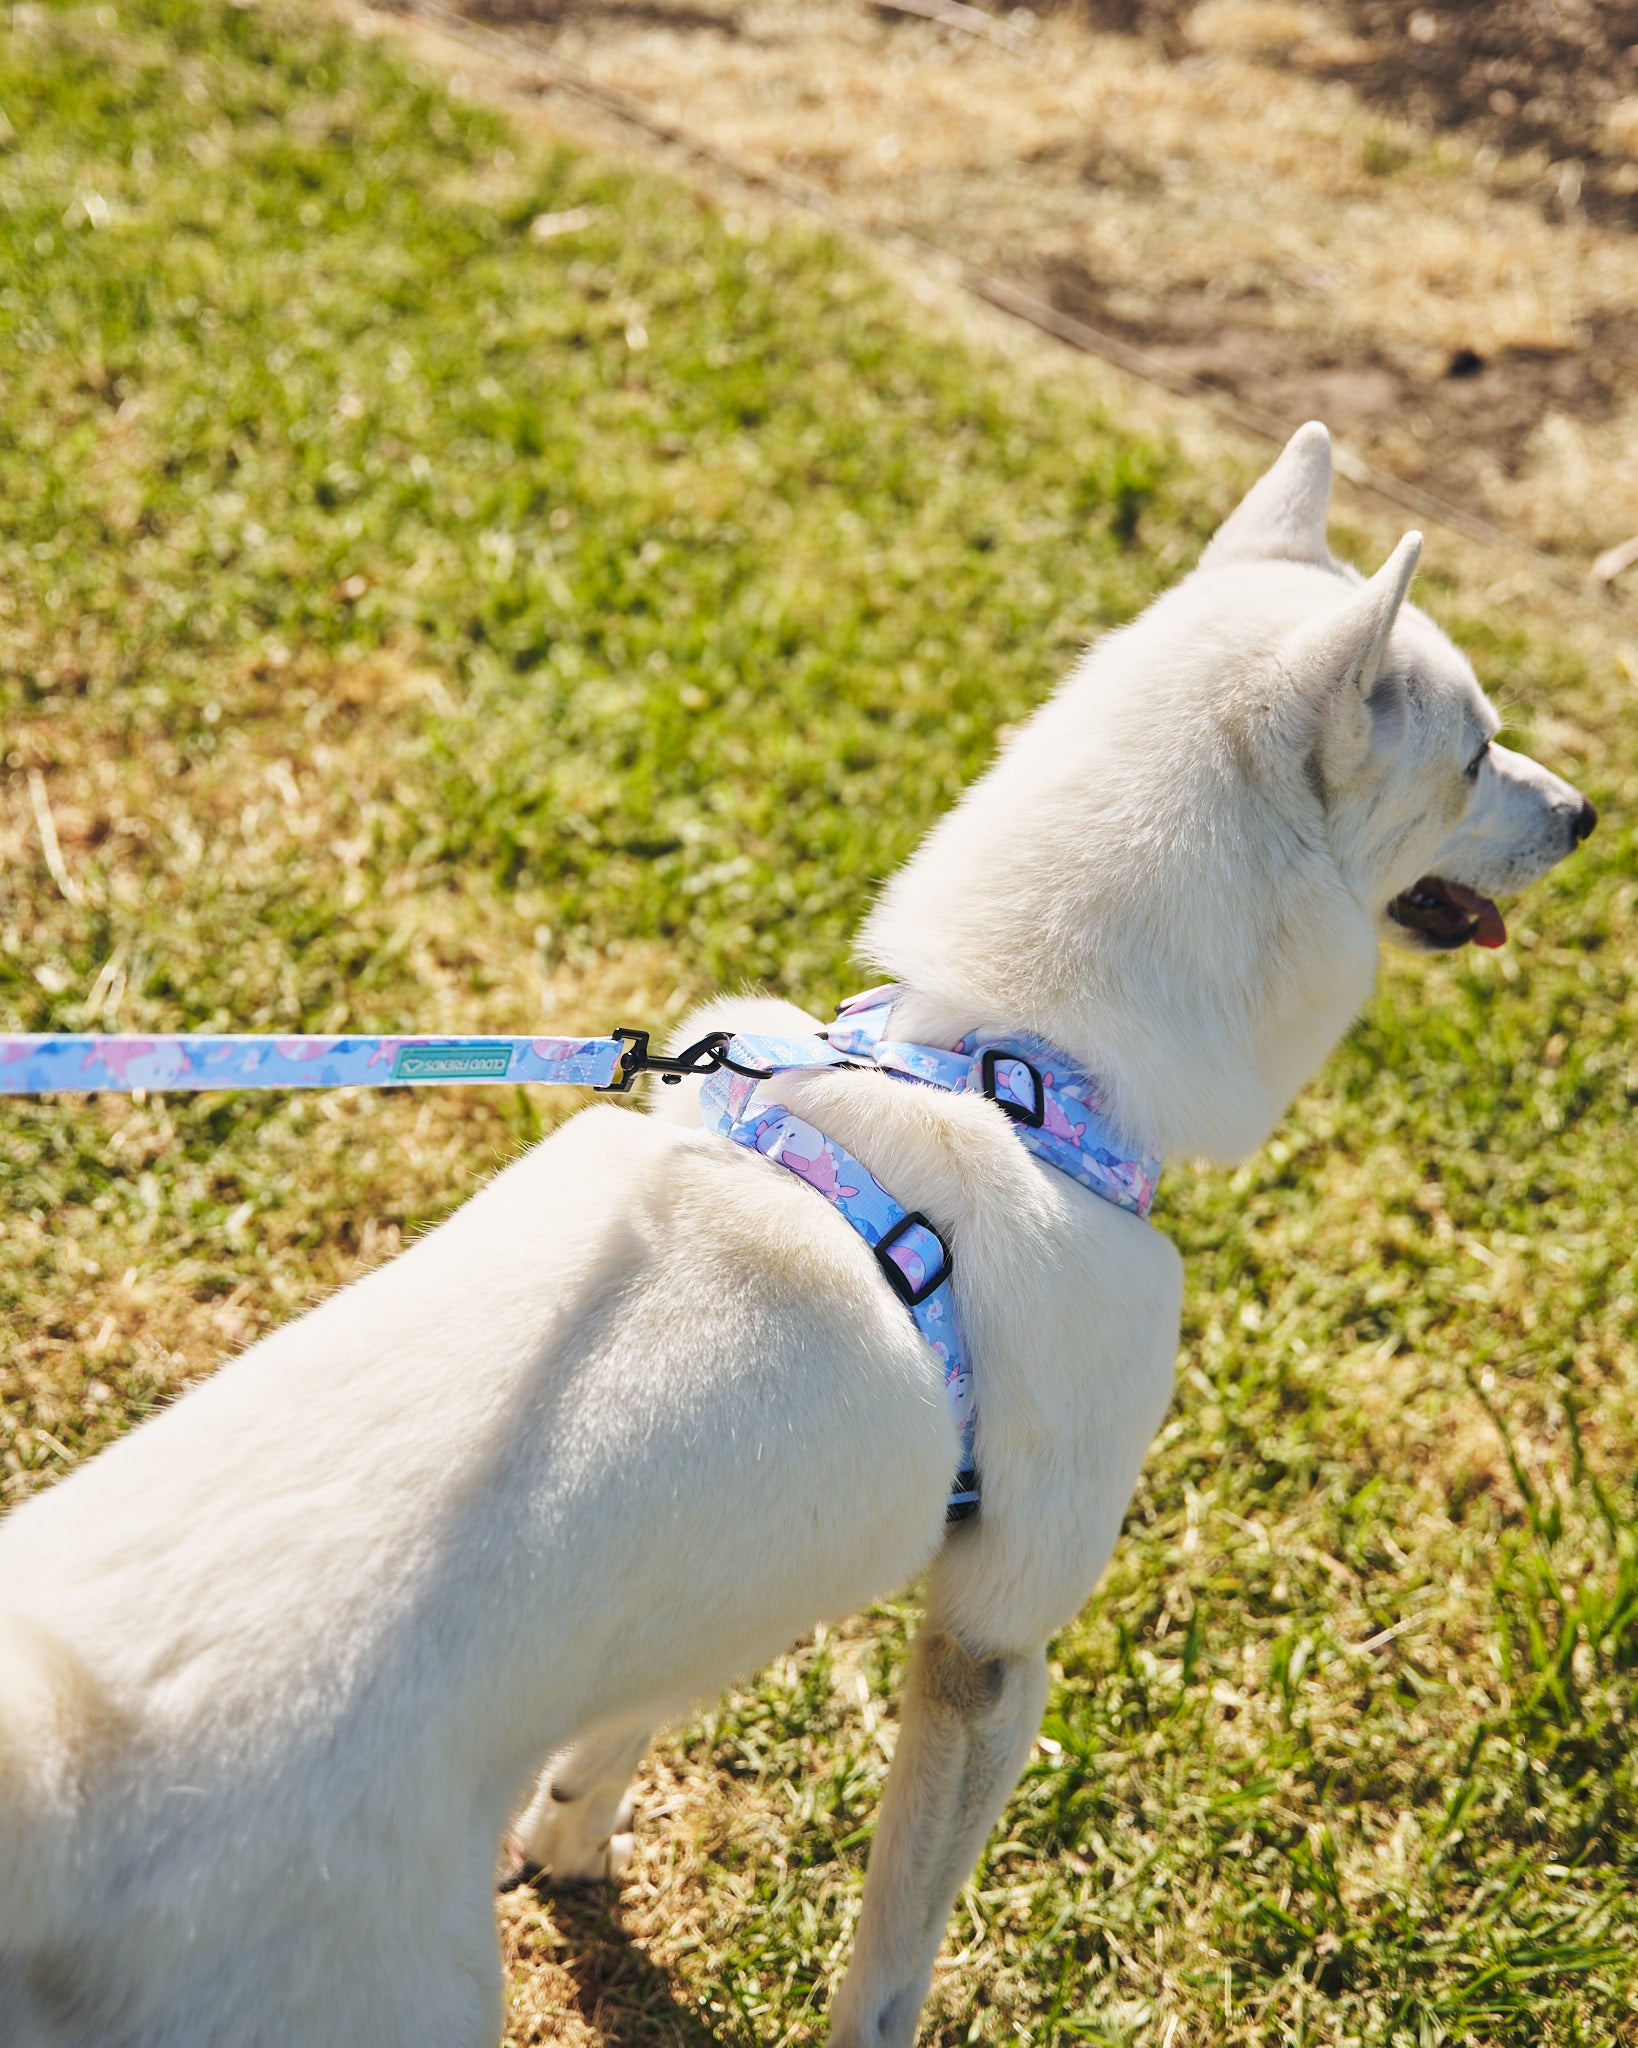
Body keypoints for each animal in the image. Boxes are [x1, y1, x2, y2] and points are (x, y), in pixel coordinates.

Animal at [0, 423, 1588, 2039]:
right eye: (1474, 755)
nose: (1589, 814)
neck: (1002, 1056)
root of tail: (69, 1777)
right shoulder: (992, 1645)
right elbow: (894, 1957)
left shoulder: (726, 1593)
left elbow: (631, 1712)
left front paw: (570, 1838)